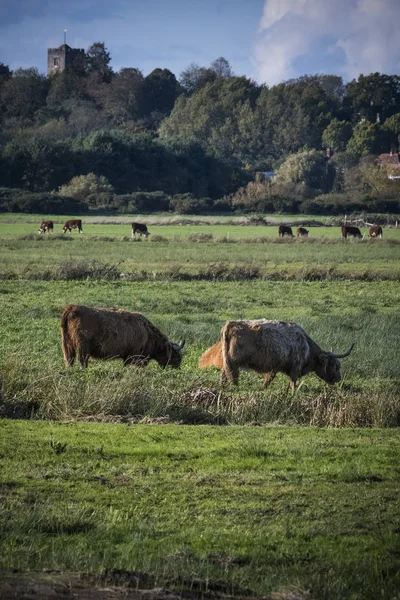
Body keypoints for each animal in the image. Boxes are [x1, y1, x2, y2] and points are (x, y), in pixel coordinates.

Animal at [219, 318, 354, 390]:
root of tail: (232, 323)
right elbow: (293, 381)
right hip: (234, 363)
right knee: (232, 377)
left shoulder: (275, 366)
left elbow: (269, 379)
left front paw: (263, 388)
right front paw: (294, 392)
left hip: (227, 362)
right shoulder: (296, 366)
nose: (338, 379)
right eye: (334, 365)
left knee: (224, 375)